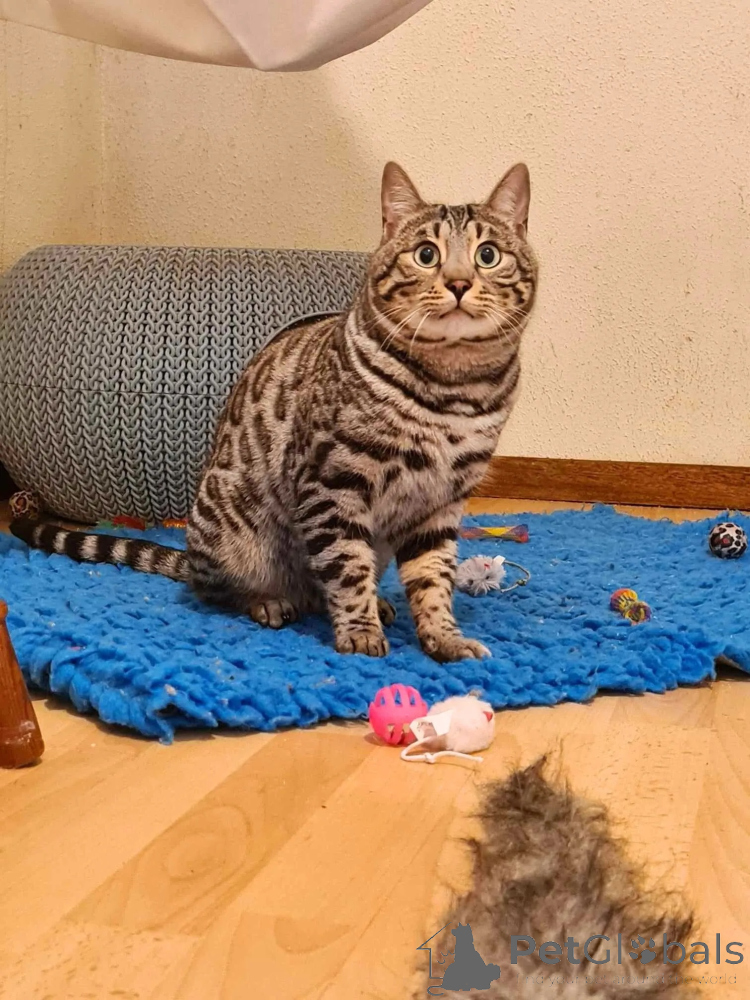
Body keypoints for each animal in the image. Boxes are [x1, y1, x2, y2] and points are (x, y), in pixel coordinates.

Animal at [12, 161, 538, 662]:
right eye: (426, 254)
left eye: (487, 255)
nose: (458, 282)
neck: (453, 389)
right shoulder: (332, 483)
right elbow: (347, 568)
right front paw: (360, 631)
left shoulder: (441, 503)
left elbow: (433, 579)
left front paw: (443, 637)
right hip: (232, 533)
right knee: (216, 591)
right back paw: (269, 601)